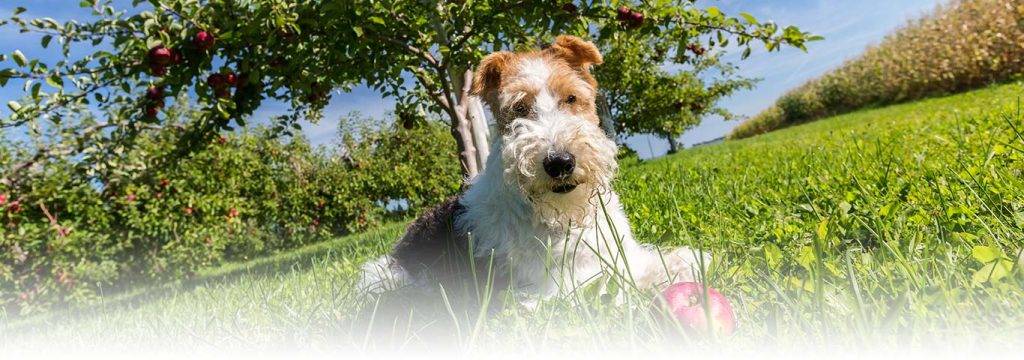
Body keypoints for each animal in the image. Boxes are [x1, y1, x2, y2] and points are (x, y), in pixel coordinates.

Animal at [358, 35, 704, 300]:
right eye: (519, 108)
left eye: (571, 97)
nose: (559, 162)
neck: (564, 216)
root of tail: (397, 251)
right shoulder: (561, 289)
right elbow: (614, 290)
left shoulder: (622, 254)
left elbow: (662, 262)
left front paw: (689, 261)